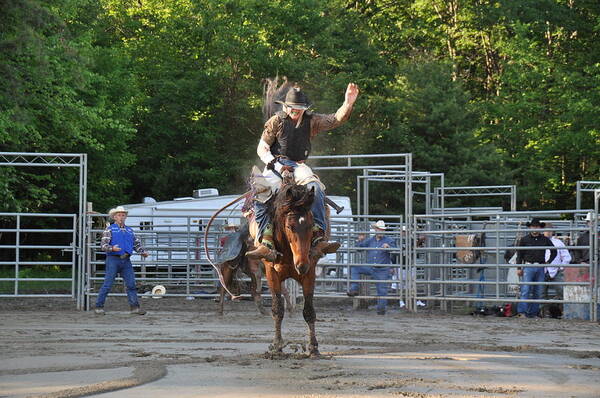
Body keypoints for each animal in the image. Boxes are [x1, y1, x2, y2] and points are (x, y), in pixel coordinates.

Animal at [262, 173, 322, 356]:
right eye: (289, 226)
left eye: (311, 225)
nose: (301, 264)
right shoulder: (271, 273)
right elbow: (277, 309)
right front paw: (277, 345)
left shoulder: (310, 272)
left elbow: (309, 310)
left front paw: (313, 347)